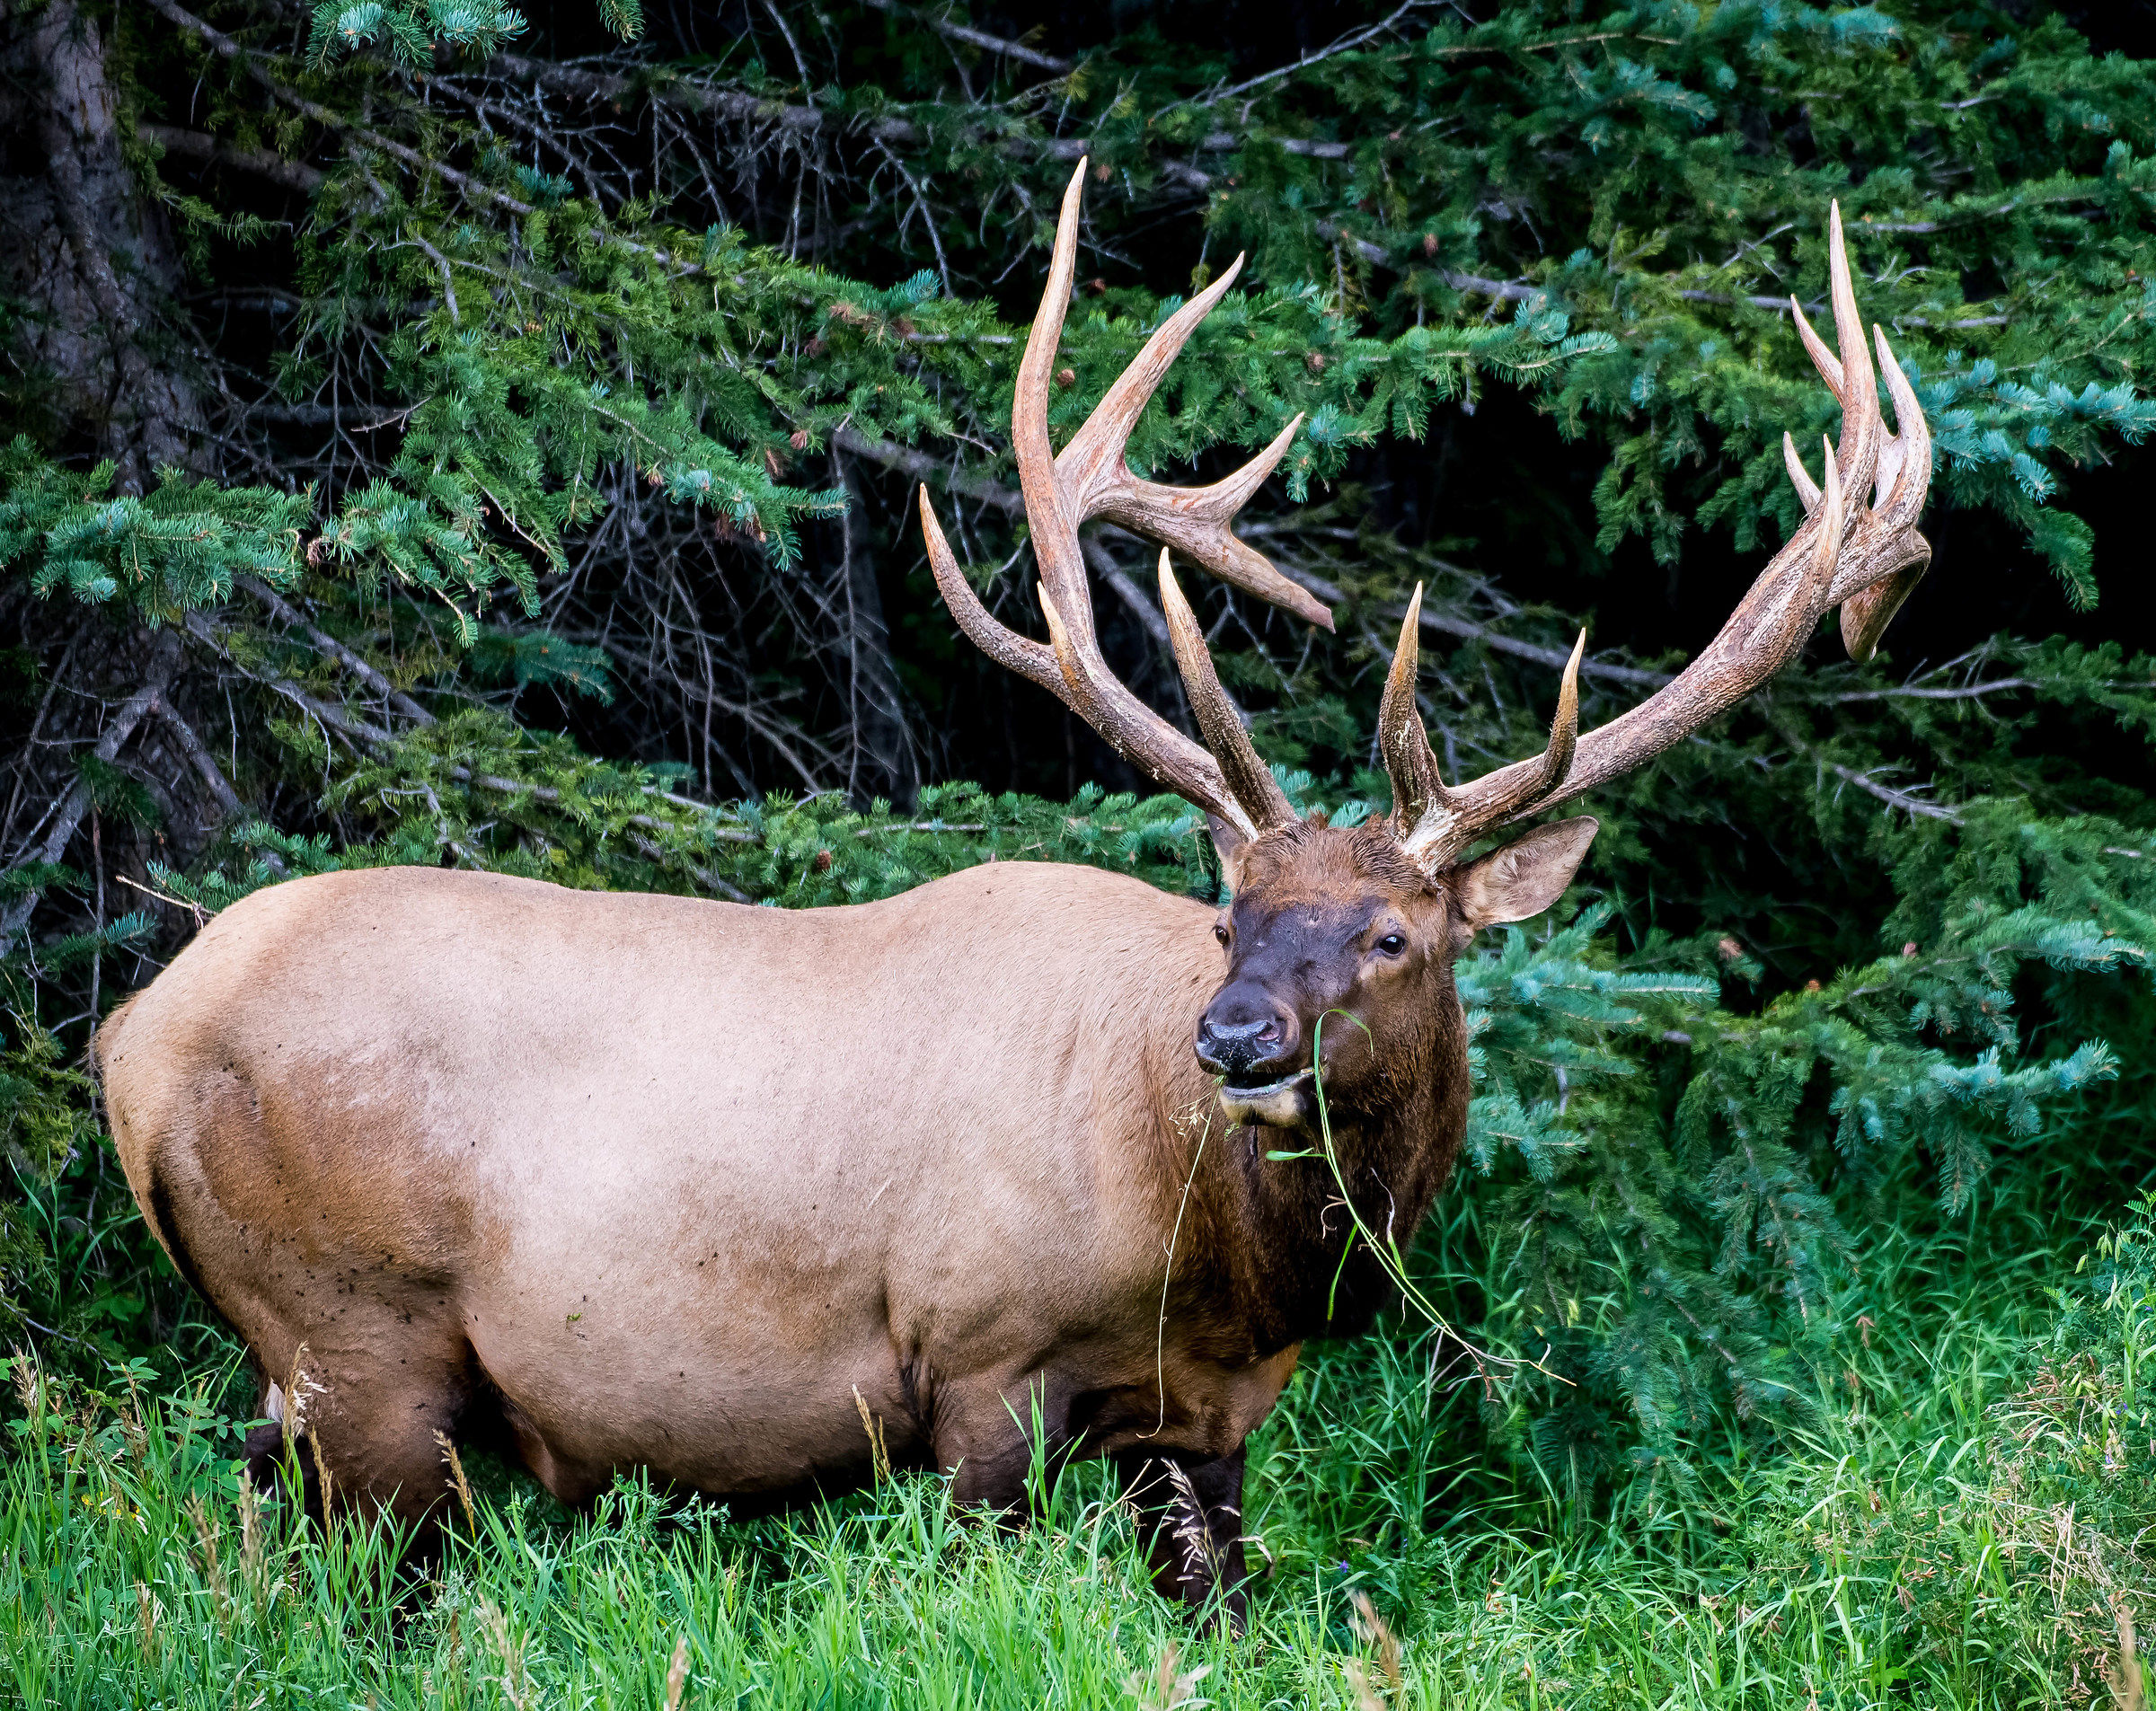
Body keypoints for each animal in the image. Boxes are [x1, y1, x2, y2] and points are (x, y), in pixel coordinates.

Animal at [97, 161, 1931, 1630]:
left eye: (1393, 933)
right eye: (1229, 917)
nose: (1236, 1039)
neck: (1215, 1253)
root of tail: (127, 1040)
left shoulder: (1200, 1420)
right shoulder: (976, 1369)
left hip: (305, 1386)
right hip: (358, 1338)